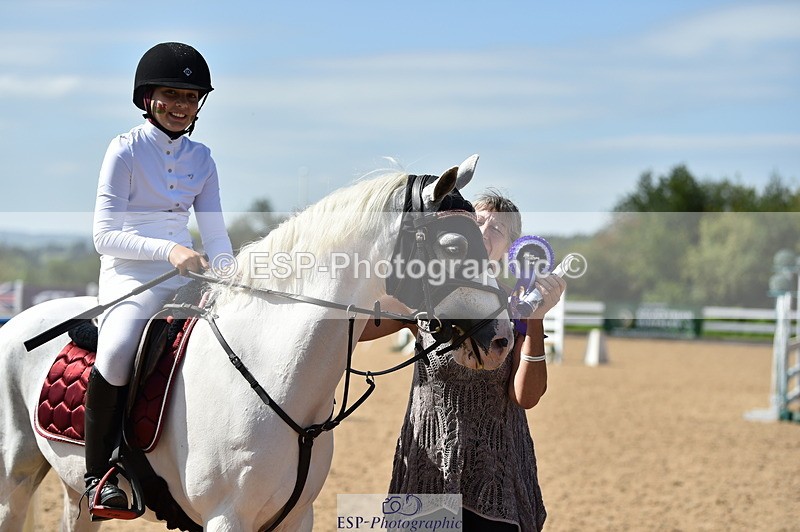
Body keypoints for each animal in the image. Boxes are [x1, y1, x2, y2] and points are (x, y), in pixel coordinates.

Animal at [0, 154, 514, 531]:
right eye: (452, 245)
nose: (503, 340)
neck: (275, 375)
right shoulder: (226, 519)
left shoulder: (296, 518)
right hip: (14, 481)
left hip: (74, 492)